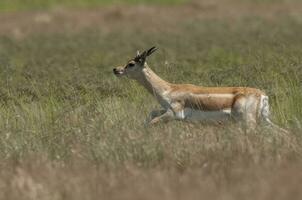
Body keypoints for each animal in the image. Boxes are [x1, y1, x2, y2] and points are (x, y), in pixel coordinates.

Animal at [112, 47, 286, 131]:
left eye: (131, 64)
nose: (116, 69)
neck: (169, 89)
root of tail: (262, 95)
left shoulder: (173, 114)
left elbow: (151, 122)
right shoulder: (165, 110)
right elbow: (151, 114)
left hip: (249, 122)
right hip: (264, 120)